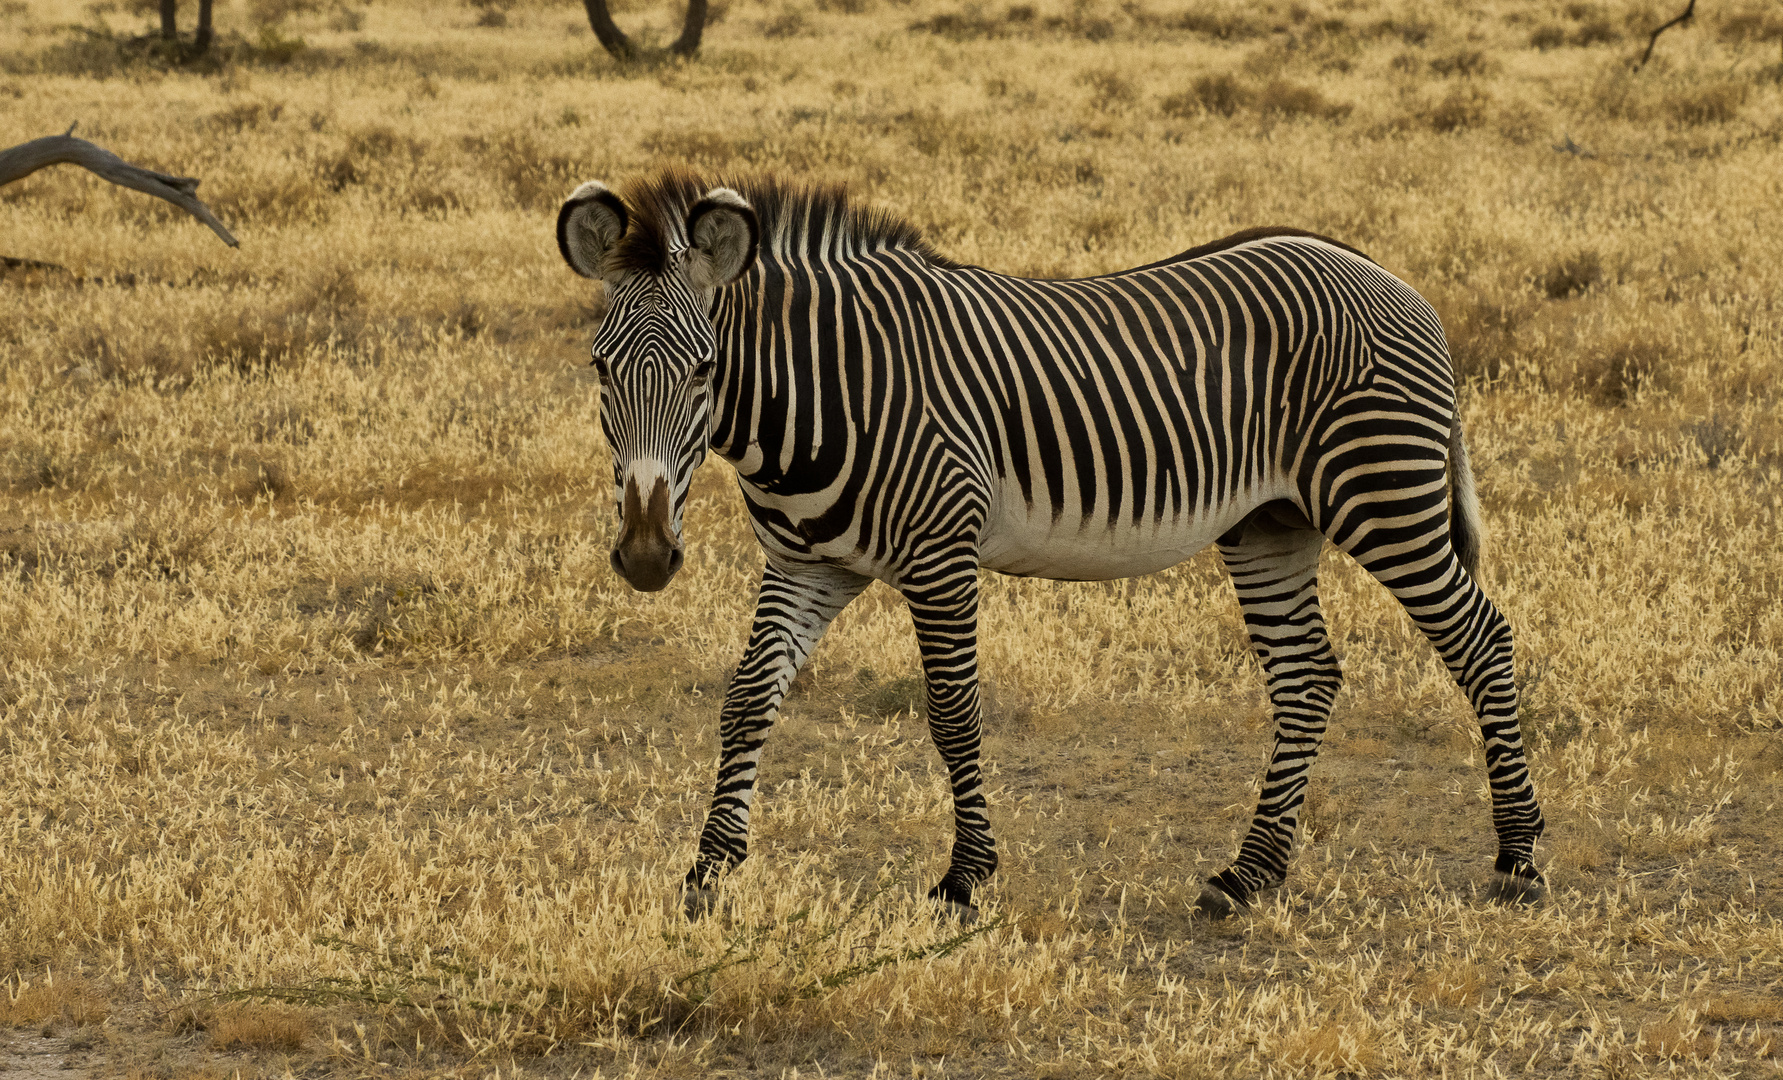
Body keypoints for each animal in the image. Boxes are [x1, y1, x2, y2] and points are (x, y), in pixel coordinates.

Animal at [556, 169, 1547, 919]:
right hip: (1271, 524)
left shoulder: (941, 553)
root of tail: (1377, 268)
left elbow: (952, 713)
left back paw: (1519, 858)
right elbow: (746, 700)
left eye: (704, 369)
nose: (644, 556)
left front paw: (965, 877)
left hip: (1382, 494)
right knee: (1307, 678)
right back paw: (1249, 874)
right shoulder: (807, 565)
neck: (823, 392)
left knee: (1480, 641)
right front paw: (708, 869)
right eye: (600, 368)